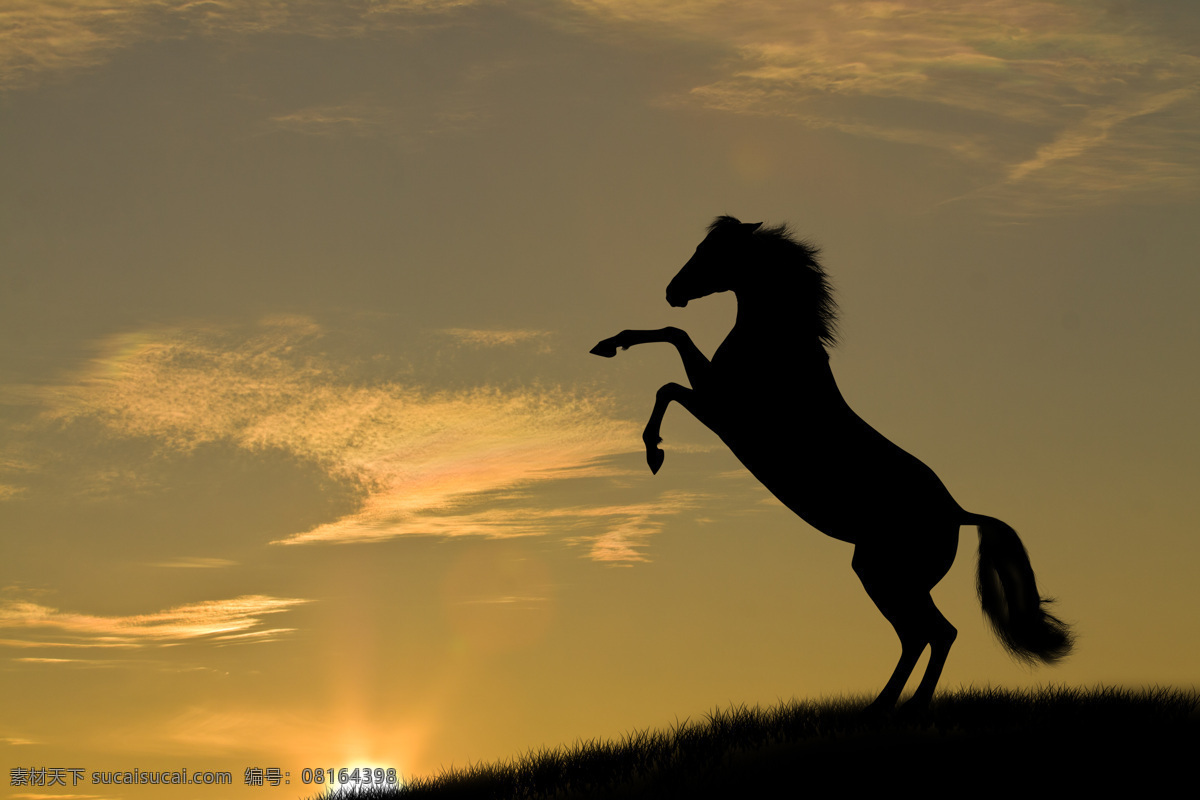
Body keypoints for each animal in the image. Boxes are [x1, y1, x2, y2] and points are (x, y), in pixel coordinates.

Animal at [595, 215, 1075, 710]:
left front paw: (653, 450)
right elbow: (675, 336)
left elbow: (669, 381)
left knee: (935, 633)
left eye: (714, 251)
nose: (672, 291)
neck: (777, 347)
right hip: (887, 575)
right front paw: (609, 345)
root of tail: (958, 513)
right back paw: (886, 706)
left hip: (890, 575)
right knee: (921, 635)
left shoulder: (723, 412)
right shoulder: (716, 402)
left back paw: (903, 706)